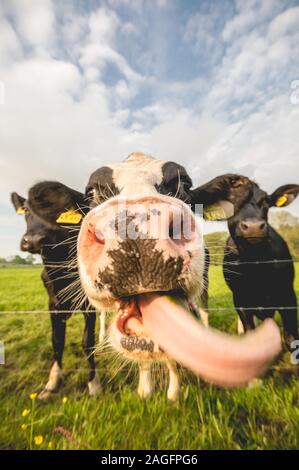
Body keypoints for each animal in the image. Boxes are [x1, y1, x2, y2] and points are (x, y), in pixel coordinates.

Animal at [11, 184, 102, 400]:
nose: (34, 240)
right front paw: (51, 384)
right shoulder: (53, 304)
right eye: (27, 210)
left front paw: (93, 384)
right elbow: (57, 341)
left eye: (64, 210)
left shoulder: (88, 306)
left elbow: (88, 342)